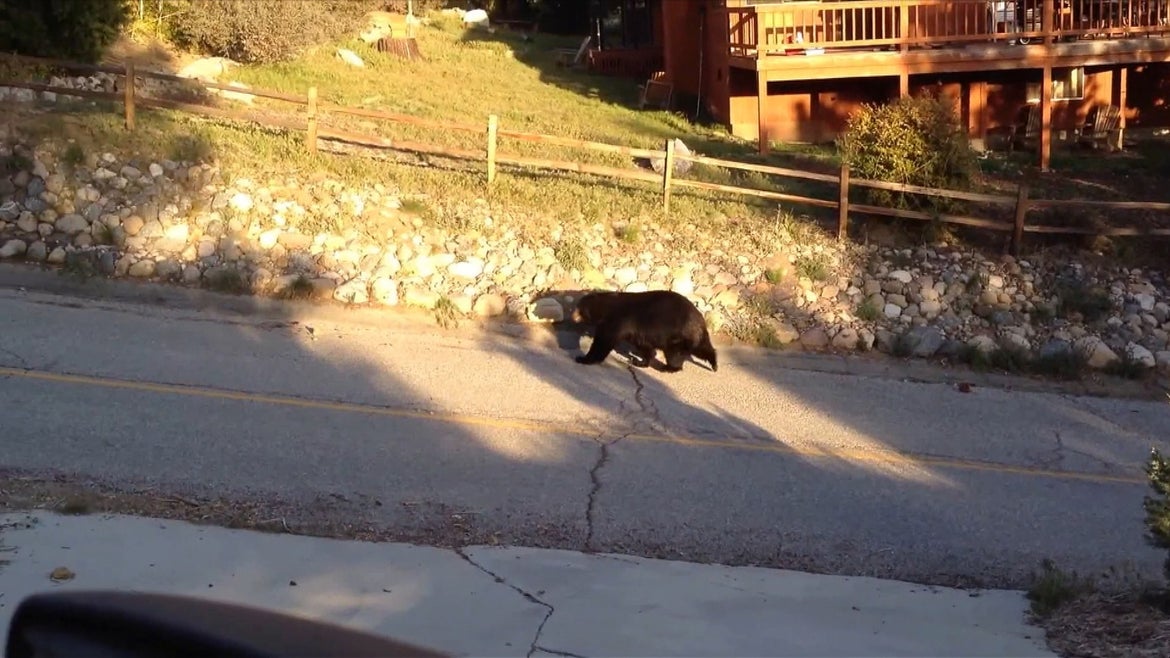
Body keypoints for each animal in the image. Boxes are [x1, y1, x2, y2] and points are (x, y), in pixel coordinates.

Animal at [571, 289, 718, 373]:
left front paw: (584, 358)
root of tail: (700, 319)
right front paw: (641, 362)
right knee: (702, 347)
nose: (572, 317)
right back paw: (714, 364)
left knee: (675, 354)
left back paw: (669, 368)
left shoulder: (618, 321)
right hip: (692, 335)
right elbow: (645, 347)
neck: (606, 308)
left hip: (678, 335)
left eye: (579, 308)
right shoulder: (639, 332)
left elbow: (603, 342)